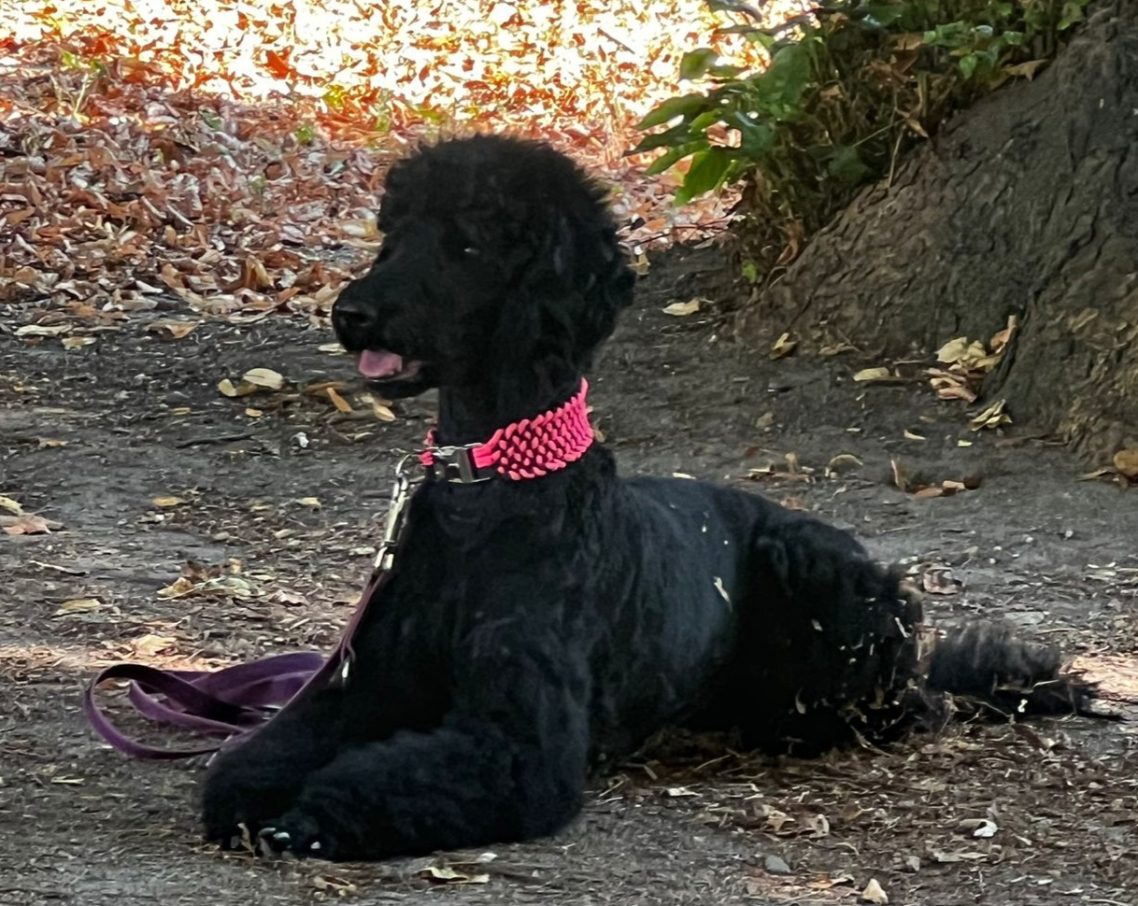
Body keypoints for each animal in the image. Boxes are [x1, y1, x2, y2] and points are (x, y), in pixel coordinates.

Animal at [201, 135, 1093, 861]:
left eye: (467, 242)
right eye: (393, 234)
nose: (350, 314)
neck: (488, 495)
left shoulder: (521, 747)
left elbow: (398, 777)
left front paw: (315, 815)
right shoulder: (367, 685)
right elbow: (261, 752)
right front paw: (252, 789)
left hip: (831, 585)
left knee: (911, 708)